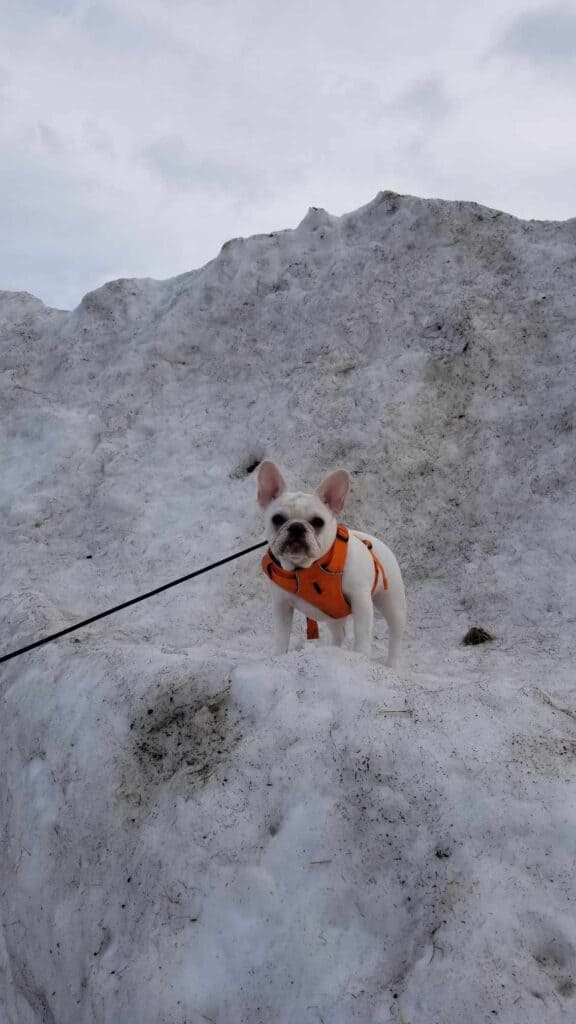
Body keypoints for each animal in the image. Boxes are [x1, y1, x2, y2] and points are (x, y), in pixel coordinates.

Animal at [255, 462, 403, 663]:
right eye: (277, 519)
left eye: (318, 522)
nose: (297, 527)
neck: (306, 568)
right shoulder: (282, 605)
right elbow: (281, 635)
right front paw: (278, 657)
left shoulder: (360, 600)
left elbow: (362, 634)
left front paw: (361, 657)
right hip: (334, 613)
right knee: (338, 634)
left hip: (392, 603)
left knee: (396, 635)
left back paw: (393, 664)